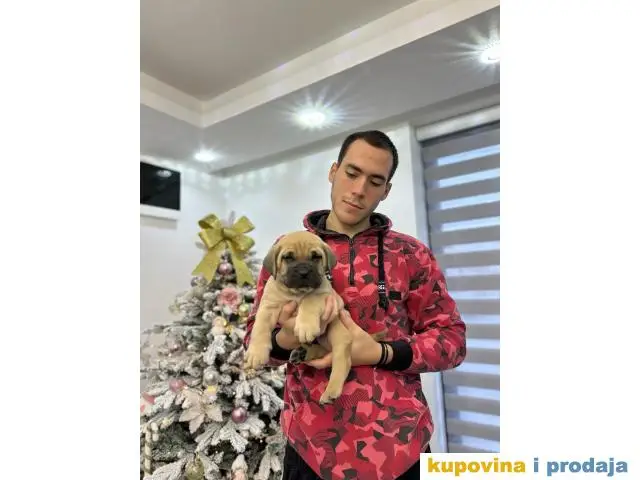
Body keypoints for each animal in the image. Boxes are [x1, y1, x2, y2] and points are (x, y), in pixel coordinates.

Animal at [244, 231, 361, 404]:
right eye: (288, 257)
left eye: (316, 257)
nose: (304, 272)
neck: (296, 293)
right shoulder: (267, 307)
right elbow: (259, 329)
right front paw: (256, 353)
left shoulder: (324, 295)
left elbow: (309, 299)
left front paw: (306, 327)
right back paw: (302, 353)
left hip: (338, 331)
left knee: (342, 360)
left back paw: (330, 391)